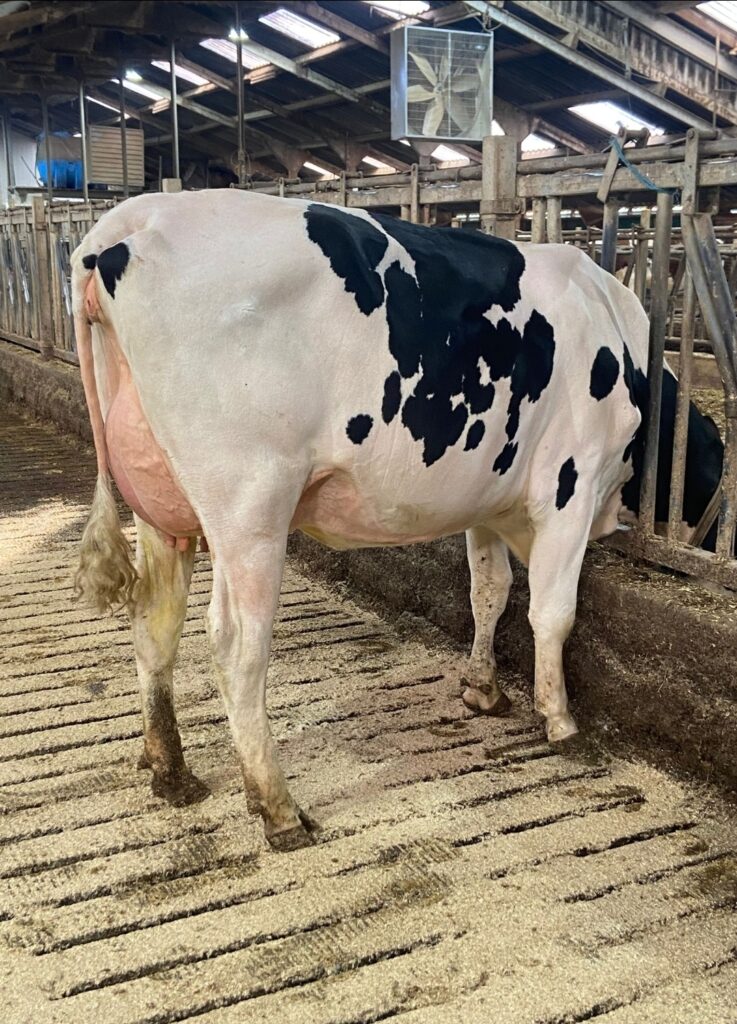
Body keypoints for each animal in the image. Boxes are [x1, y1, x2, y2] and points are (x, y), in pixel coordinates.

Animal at [71, 190, 725, 851]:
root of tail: (134, 217)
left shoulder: (487, 495)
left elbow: (489, 592)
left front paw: (483, 688)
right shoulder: (572, 482)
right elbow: (552, 612)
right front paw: (561, 720)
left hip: (161, 507)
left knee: (155, 620)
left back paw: (170, 769)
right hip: (249, 503)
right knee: (236, 644)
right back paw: (279, 809)